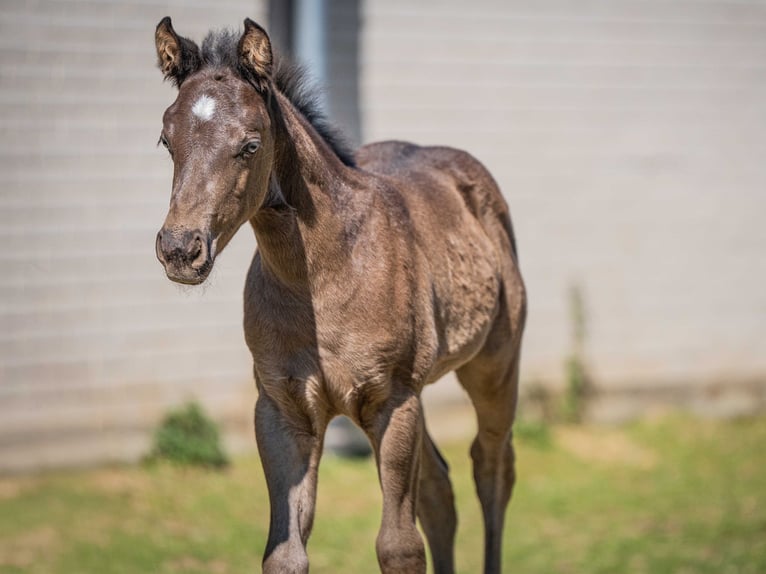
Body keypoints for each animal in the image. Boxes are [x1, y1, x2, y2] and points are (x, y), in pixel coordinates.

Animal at [153, 17, 526, 574]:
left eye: (250, 145)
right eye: (165, 140)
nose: (180, 249)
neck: (326, 275)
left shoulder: (394, 401)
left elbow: (399, 546)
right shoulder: (282, 410)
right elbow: (285, 553)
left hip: (494, 365)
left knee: (493, 468)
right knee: (439, 489)